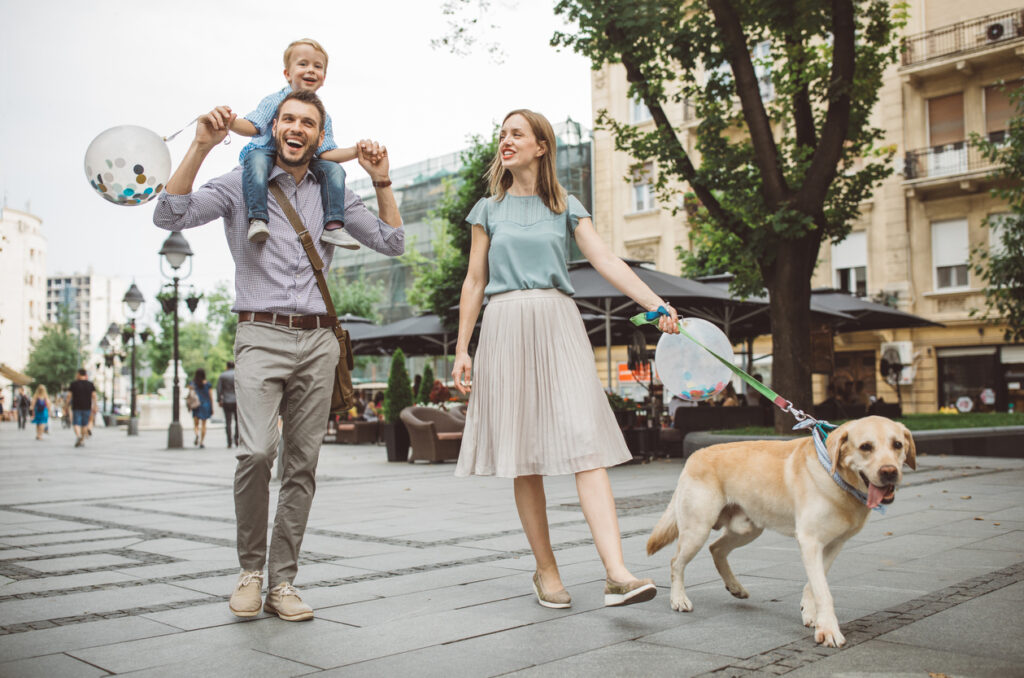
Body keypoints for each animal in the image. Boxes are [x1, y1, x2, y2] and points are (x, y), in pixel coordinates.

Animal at [647, 413, 913, 647]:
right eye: (866, 447)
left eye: (897, 444)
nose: (889, 472)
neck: (835, 477)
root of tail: (694, 456)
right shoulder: (810, 541)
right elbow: (823, 590)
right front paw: (828, 630)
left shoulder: (833, 544)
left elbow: (815, 583)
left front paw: (811, 614)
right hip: (697, 529)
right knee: (676, 562)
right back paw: (679, 599)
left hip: (747, 528)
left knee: (716, 549)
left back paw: (735, 587)